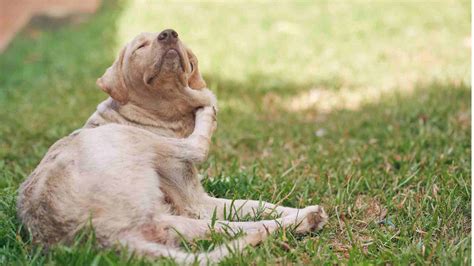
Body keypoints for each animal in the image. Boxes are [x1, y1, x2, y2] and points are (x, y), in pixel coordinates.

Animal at [16, 29, 328, 264]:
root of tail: (102, 236)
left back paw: (305, 219)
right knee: (199, 150)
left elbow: (255, 204)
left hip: (171, 223)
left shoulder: (196, 201)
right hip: (126, 139)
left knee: (235, 228)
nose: (169, 34)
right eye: (140, 46)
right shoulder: (193, 200)